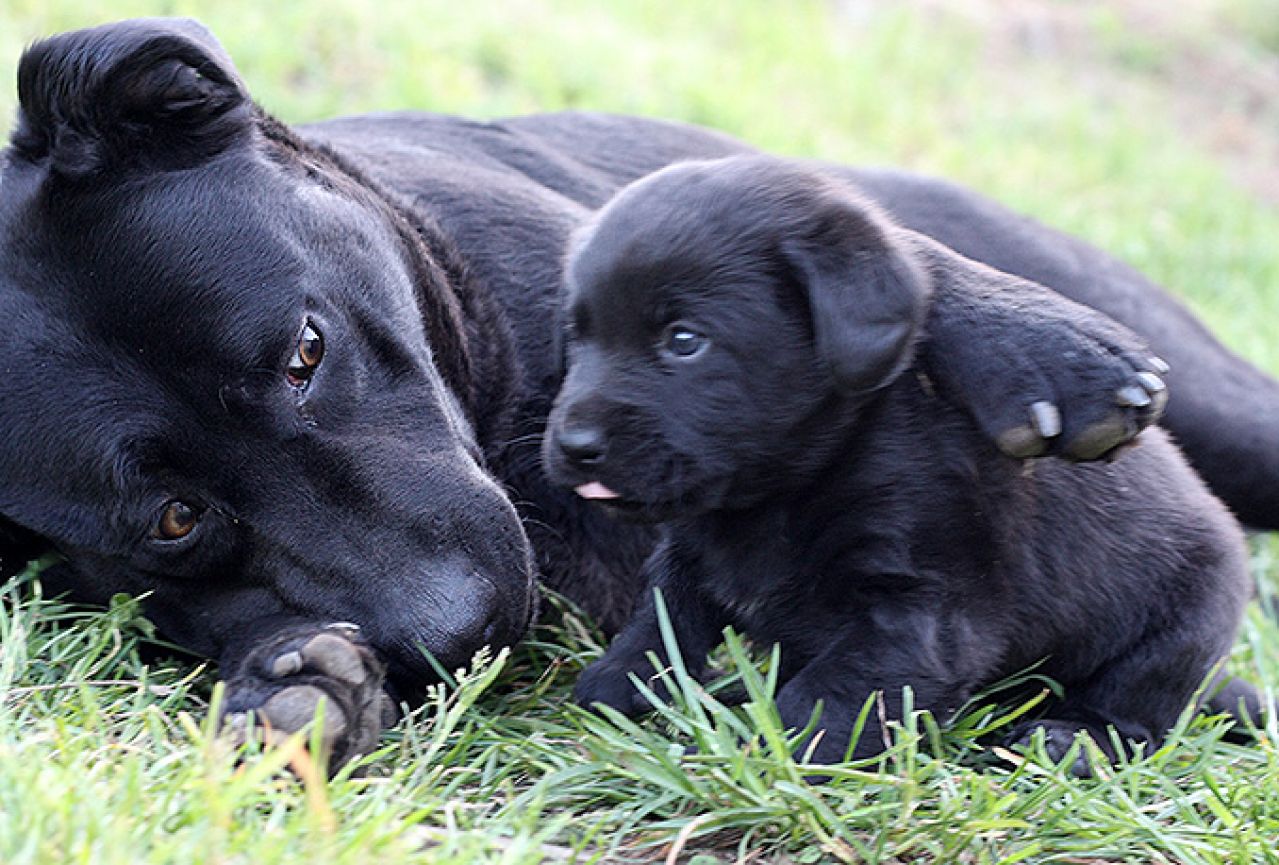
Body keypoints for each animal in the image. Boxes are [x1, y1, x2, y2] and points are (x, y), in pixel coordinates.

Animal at [544, 153, 1253, 762]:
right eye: (579, 335)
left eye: (684, 340)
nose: (575, 447)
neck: (796, 480)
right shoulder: (691, 556)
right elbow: (663, 623)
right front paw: (622, 687)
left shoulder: (920, 608)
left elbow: (828, 702)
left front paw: (763, 758)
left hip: (1180, 627)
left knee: (1137, 714)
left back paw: (1071, 741)